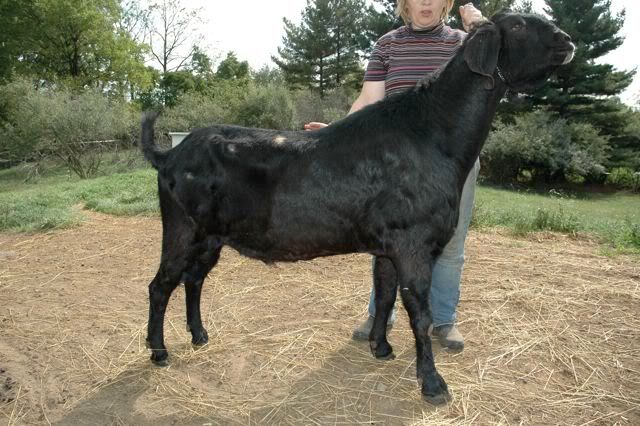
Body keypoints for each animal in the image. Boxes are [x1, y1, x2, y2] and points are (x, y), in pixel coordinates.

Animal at [140, 12, 574, 405]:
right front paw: (433, 385)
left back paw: (199, 335)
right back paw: (159, 351)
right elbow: (419, 313)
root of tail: (170, 155)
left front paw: (380, 347)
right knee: (161, 285)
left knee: (194, 280)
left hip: (211, 237)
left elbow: (384, 295)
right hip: (182, 228)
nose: (566, 39)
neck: (433, 133)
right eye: (518, 24)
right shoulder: (413, 244)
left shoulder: (387, 247)